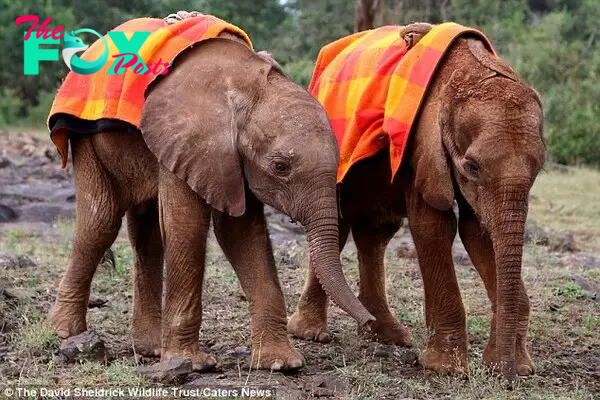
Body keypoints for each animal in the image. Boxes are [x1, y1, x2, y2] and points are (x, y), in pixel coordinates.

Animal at [48, 14, 376, 372]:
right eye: (280, 167)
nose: (369, 324)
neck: (248, 85)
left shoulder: (228, 157)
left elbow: (241, 232)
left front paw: (281, 364)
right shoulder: (190, 138)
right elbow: (188, 227)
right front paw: (193, 364)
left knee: (147, 235)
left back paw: (150, 349)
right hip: (85, 139)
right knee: (100, 223)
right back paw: (67, 334)